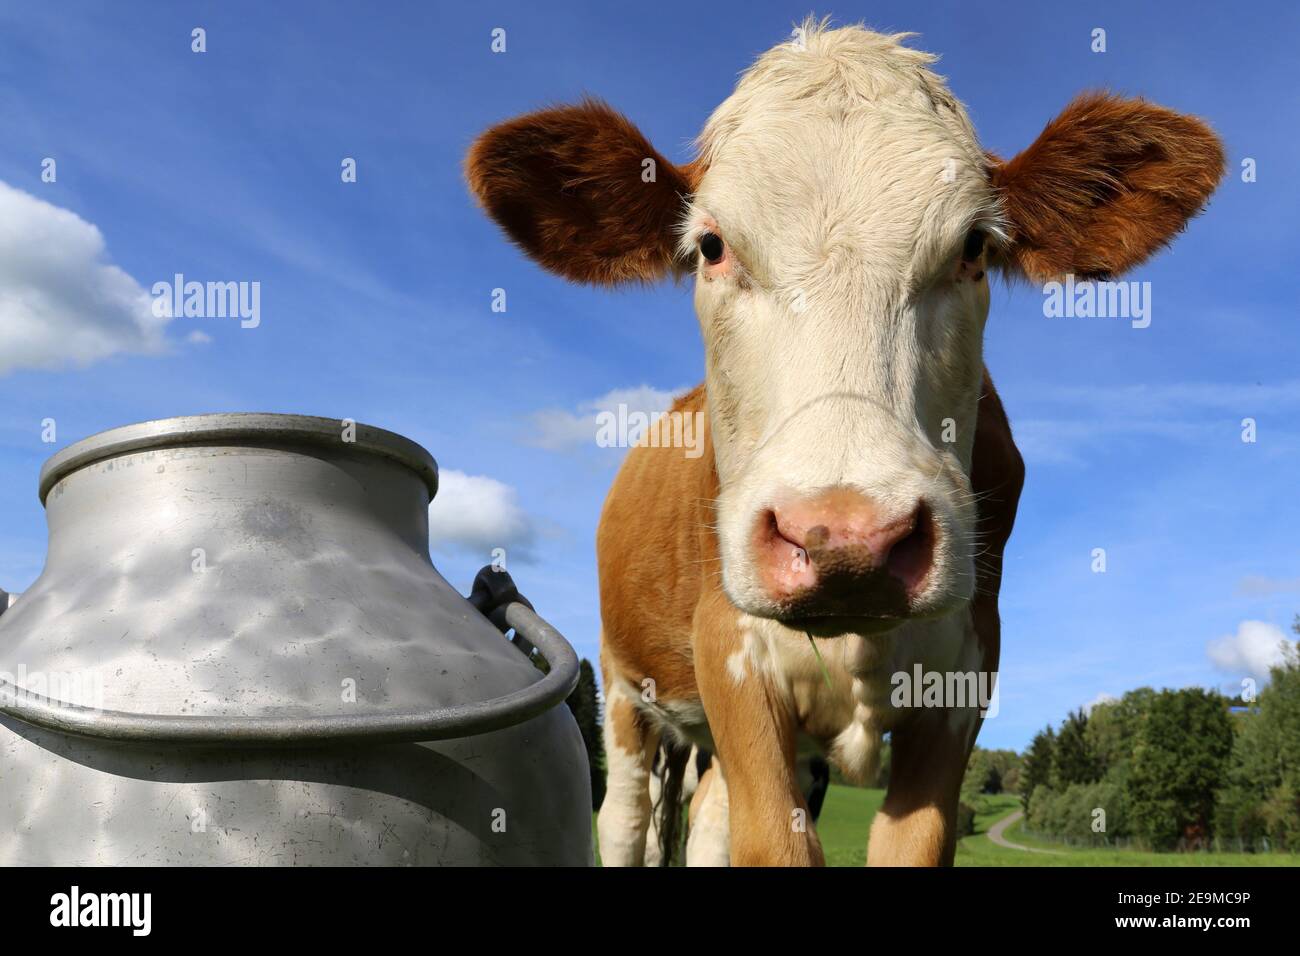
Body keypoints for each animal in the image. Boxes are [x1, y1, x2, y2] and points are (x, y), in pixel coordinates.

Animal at [465, 22, 1216, 863]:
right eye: (712, 246)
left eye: (974, 246)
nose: (847, 540)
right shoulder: (728, 654)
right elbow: (771, 844)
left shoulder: (964, 676)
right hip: (626, 689)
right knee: (625, 820)